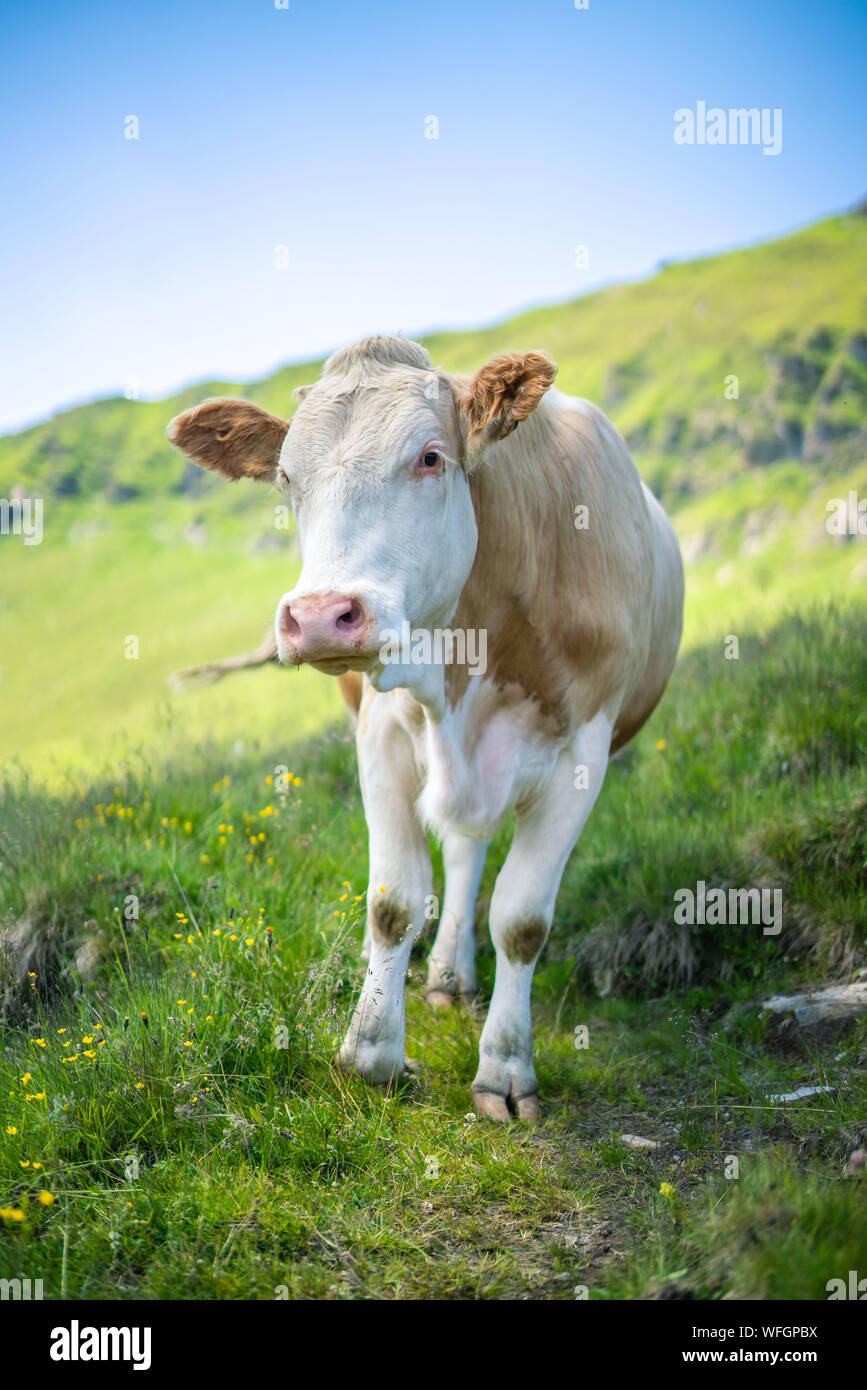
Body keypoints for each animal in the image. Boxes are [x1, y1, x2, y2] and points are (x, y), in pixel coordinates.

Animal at [167, 336, 683, 1117]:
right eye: (286, 477)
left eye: (431, 457)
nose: (320, 616)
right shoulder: (382, 731)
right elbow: (395, 902)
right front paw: (371, 1051)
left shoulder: (583, 751)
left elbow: (522, 919)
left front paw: (505, 1068)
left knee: (471, 852)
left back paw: (452, 974)